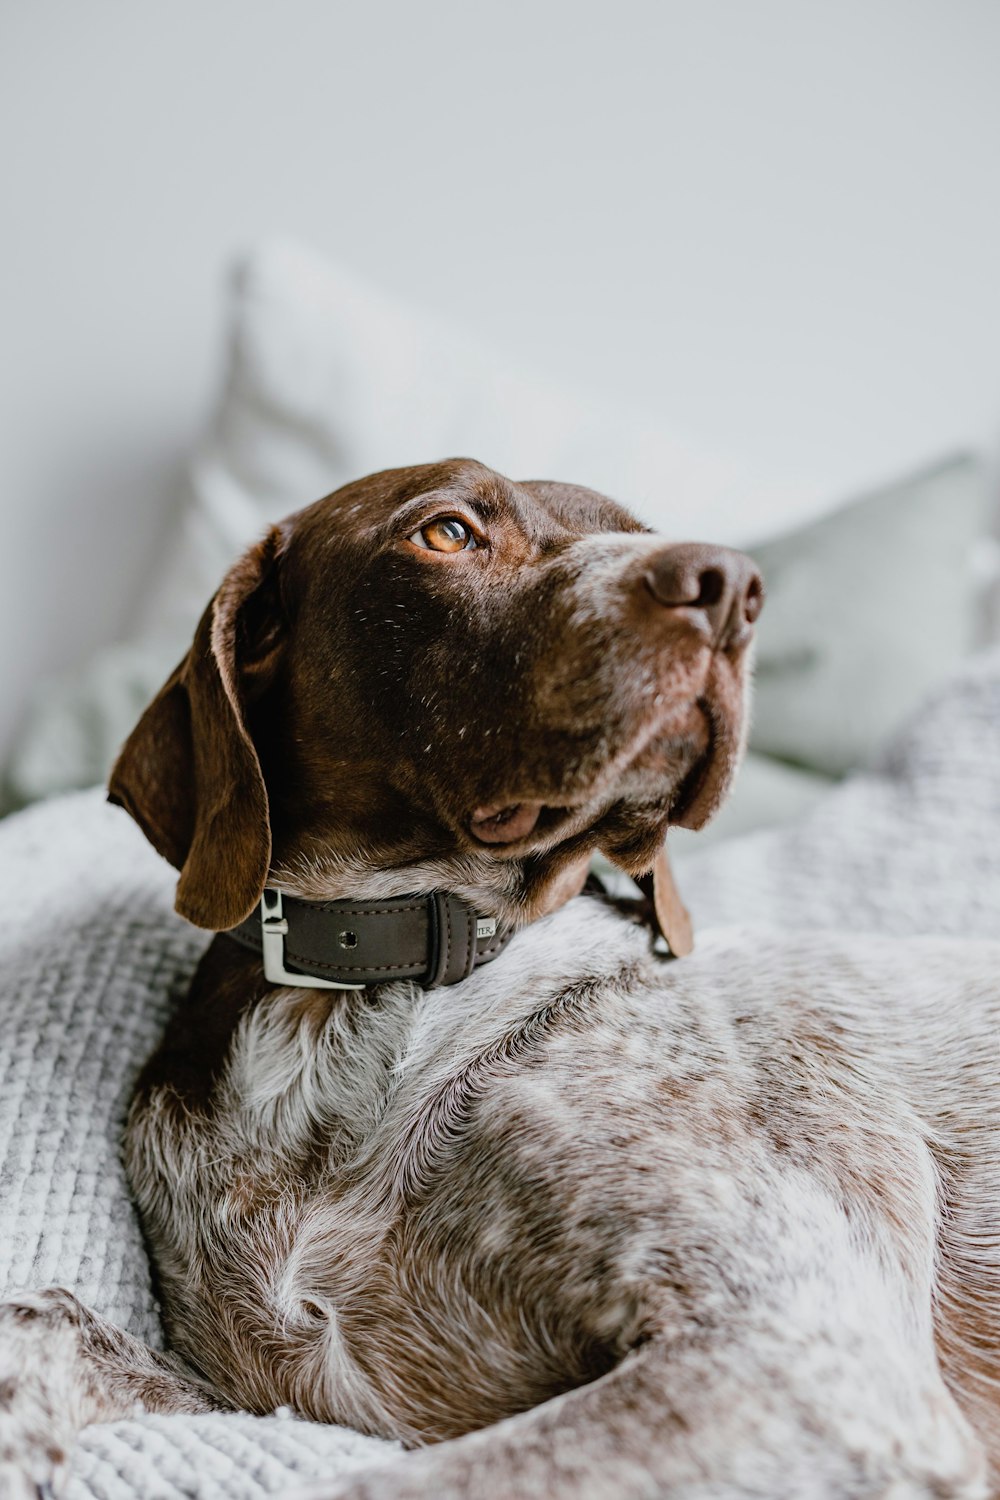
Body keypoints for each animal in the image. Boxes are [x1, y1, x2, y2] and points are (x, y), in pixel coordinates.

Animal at [1, 459, 1000, 1500]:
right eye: (447, 532)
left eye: (642, 531)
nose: (731, 585)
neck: (358, 1000)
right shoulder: (273, 1402)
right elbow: (45, 1323)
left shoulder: (797, 1351)